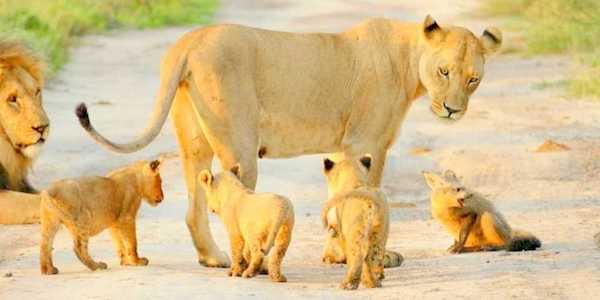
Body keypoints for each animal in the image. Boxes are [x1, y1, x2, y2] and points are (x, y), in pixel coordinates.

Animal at [77, 14, 504, 268]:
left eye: (473, 79)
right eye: (444, 71)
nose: (452, 110)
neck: (408, 60)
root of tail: (191, 41)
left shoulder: (343, 146)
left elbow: (340, 197)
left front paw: (338, 253)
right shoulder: (367, 143)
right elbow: (368, 198)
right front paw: (375, 256)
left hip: (194, 143)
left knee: (194, 206)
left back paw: (213, 259)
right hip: (240, 147)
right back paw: (253, 264)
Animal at [324, 156, 390, 290]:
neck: (354, 178)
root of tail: (370, 202)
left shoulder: (343, 232)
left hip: (356, 230)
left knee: (358, 255)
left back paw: (349, 284)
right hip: (380, 231)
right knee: (374, 256)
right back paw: (374, 282)